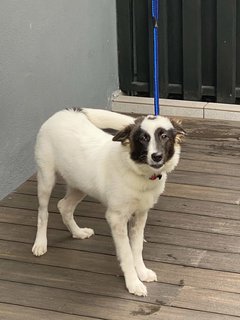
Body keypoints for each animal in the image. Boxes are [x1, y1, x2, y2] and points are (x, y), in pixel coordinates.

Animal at [32, 108, 186, 298]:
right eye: (143, 138)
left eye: (164, 136)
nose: (156, 156)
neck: (138, 172)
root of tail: (63, 112)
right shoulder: (116, 218)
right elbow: (127, 253)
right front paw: (133, 283)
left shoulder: (140, 214)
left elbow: (137, 248)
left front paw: (142, 272)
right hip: (46, 178)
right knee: (43, 212)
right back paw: (40, 243)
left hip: (79, 184)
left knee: (64, 206)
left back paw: (78, 232)